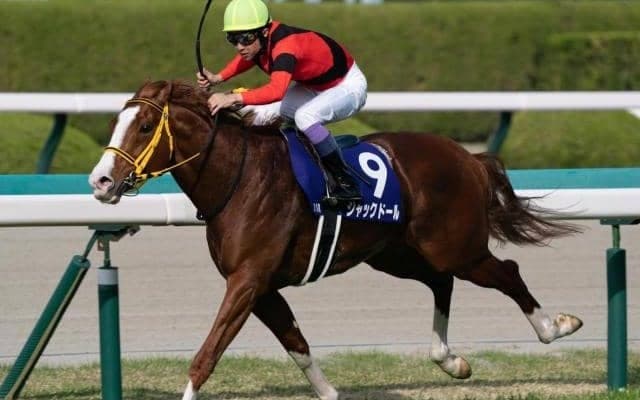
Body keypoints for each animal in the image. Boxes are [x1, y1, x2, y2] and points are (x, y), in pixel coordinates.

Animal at [89, 80, 583, 400]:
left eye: (145, 126)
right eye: (115, 121)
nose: (100, 181)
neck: (239, 177)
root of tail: (468, 156)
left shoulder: (247, 280)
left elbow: (206, 355)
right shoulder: (260, 287)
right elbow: (297, 345)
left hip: (455, 247)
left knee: (505, 272)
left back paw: (555, 326)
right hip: (396, 253)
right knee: (441, 282)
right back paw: (450, 360)